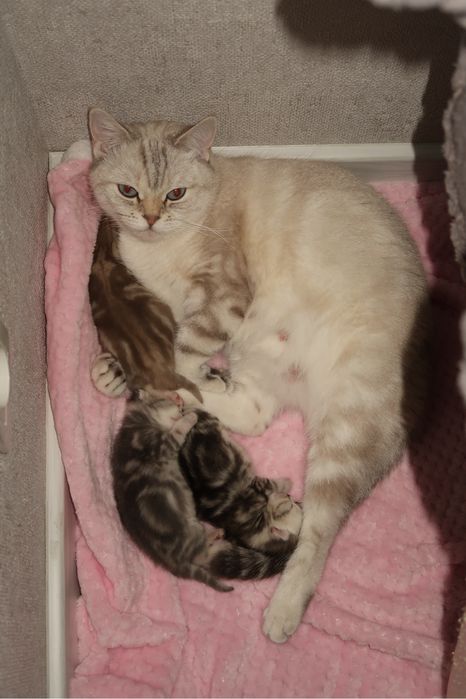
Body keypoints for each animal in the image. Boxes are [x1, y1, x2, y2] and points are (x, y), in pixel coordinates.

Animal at [111, 392, 303, 589]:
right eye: (289, 502)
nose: (289, 497)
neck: (255, 527)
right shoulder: (256, 488)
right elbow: (269, 483)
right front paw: (286, 482)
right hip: (209, 420)